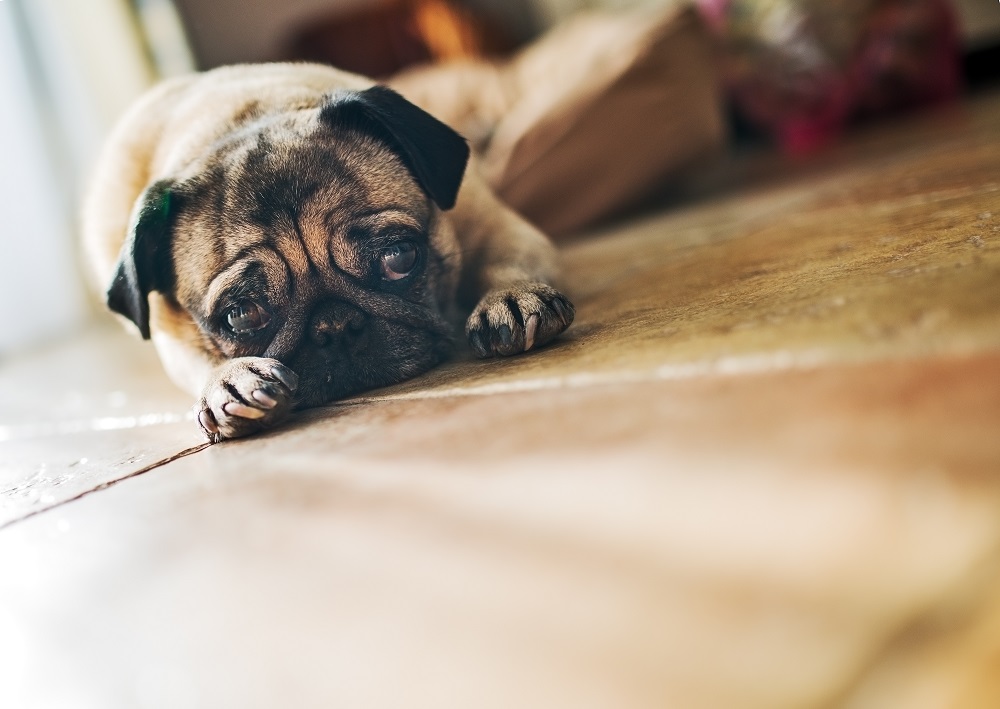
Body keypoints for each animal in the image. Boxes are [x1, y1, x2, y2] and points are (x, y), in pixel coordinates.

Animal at [85, 63, 572, 440]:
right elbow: (198, 362)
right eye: (240, 315)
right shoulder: (171, 334)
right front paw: (228, 381)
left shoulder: (497, 225)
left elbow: (503, 261)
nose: (334, 326)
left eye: (399, 259)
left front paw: (510, 297)